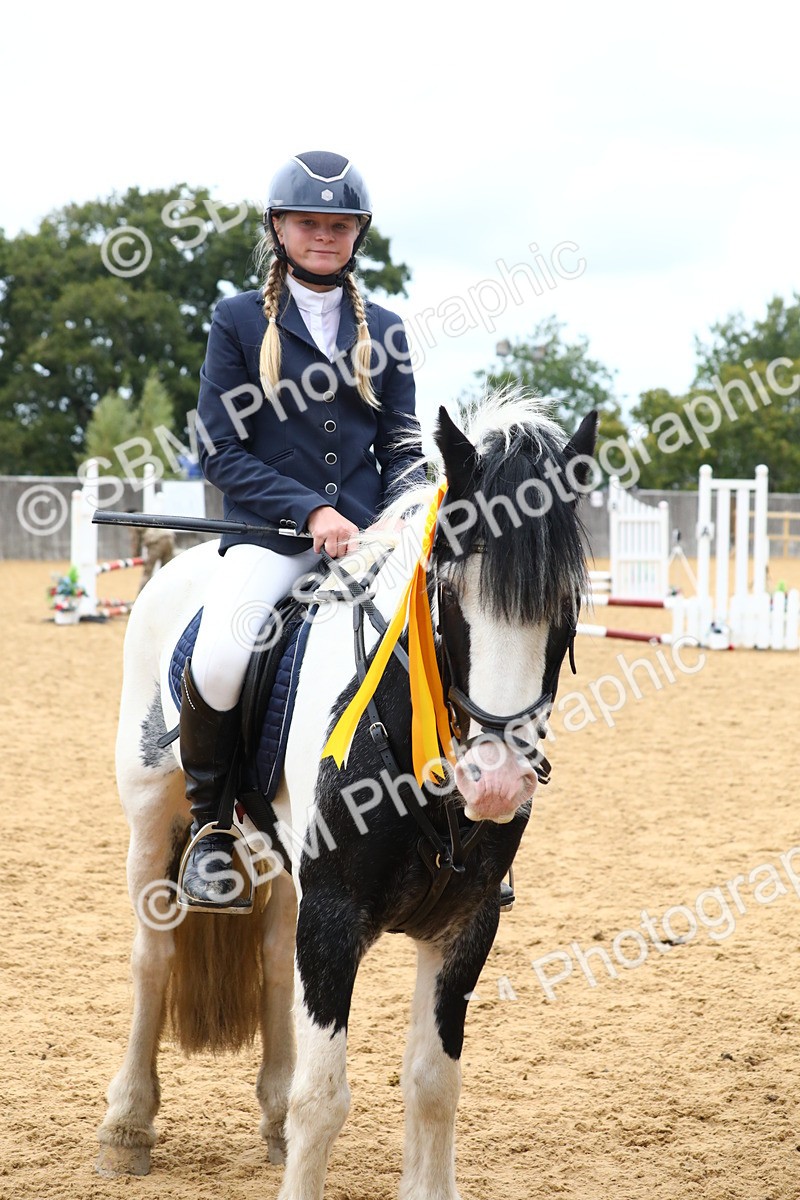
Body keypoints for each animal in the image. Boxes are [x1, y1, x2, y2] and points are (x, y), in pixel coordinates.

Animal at [96, 394, 598, 1199]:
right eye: (449, 590)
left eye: (566, 600)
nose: (494, 783)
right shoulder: (333, 917)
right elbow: (324, 1099)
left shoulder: (465, 925)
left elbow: (433, 1085)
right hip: (153, 816)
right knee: (154, 953)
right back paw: (126, 1127)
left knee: (274, 959)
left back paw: (266, 1114)